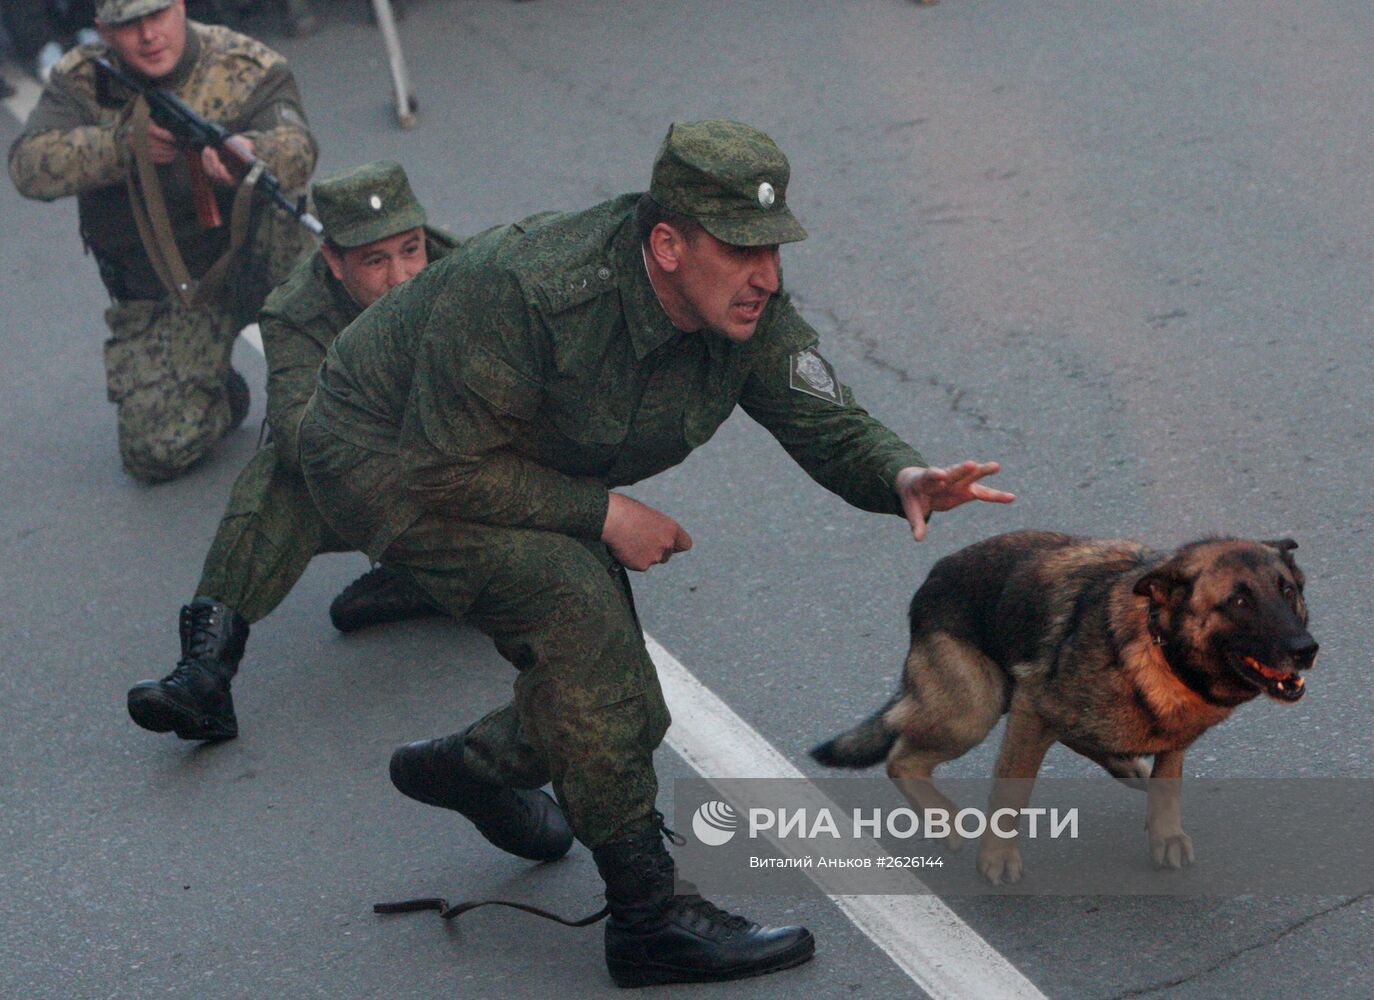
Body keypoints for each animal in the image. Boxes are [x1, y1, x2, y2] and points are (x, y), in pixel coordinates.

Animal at [807, 530, 1313, 884]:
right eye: (1239, 600)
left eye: (1288, 592)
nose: (1307, 649)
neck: (1155, 643)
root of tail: (931, 579)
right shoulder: (1031, 711)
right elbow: (1011, 793)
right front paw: (997, 856)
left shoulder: (1173, 732)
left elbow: (1168, 781)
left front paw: (1165, 833)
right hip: (974, 708)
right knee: (900, 757)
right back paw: (946, 822)